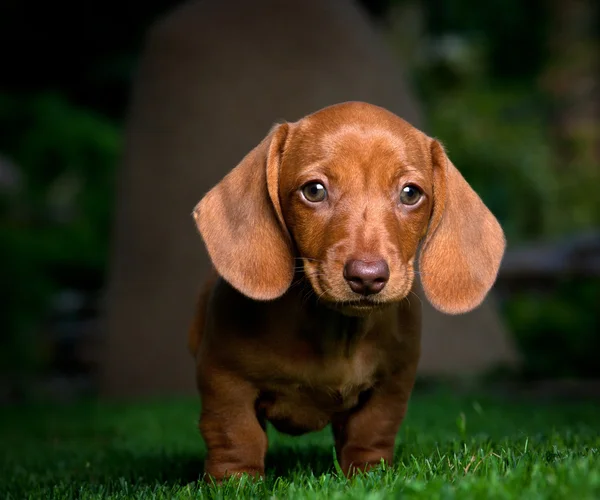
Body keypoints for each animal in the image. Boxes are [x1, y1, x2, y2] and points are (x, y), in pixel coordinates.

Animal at [189, 101, 506, 480]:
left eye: (410, 193)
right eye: (314, 190)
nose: (367, 277)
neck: (336, 330)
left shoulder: (392, 385)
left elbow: (372, 430)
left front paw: (368, 475)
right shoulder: (225, 380)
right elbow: (236, 433)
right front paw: (236, 481)